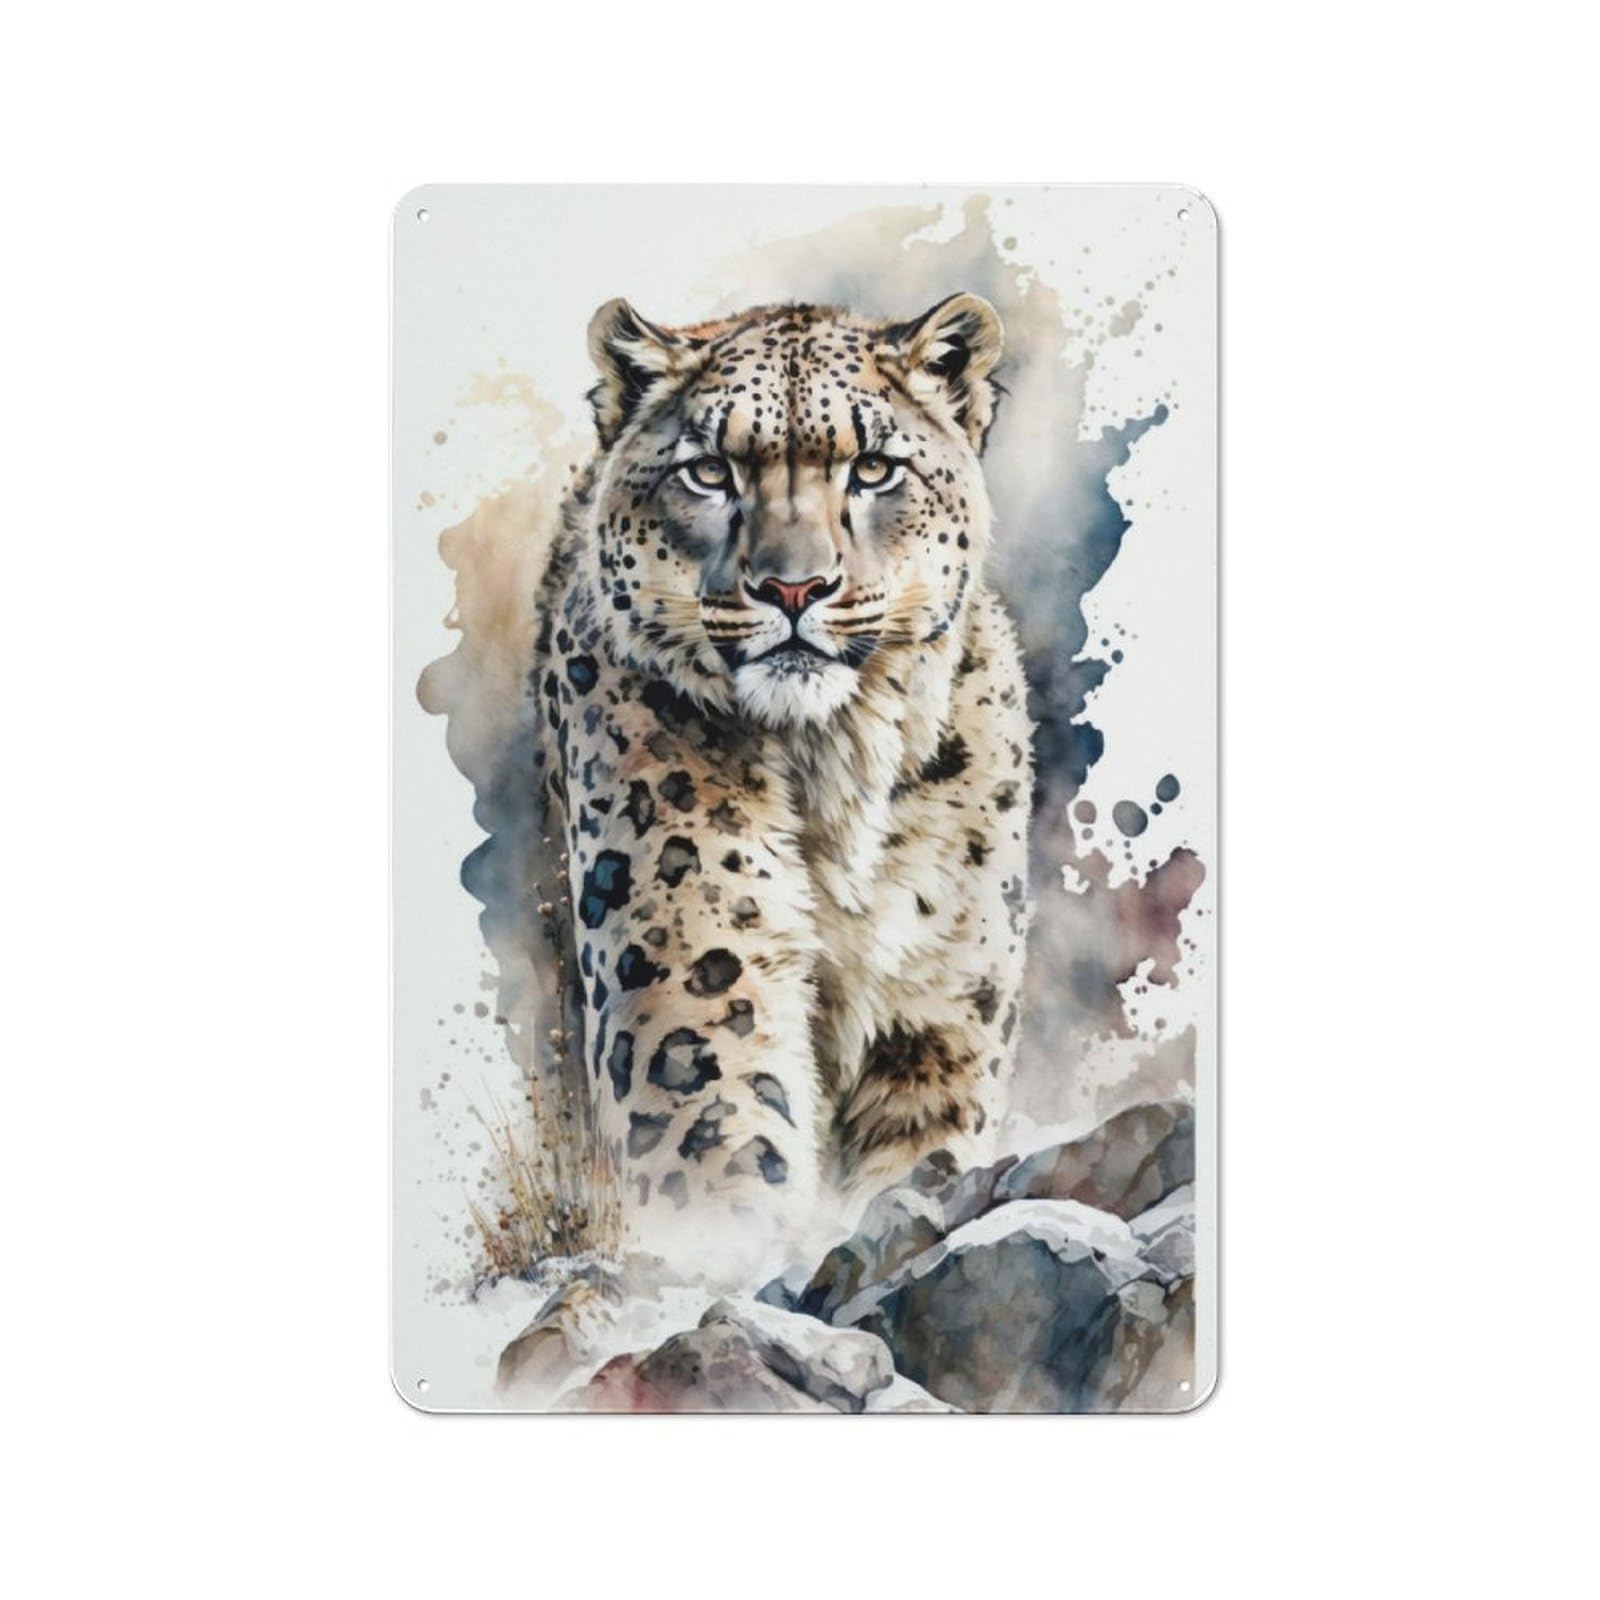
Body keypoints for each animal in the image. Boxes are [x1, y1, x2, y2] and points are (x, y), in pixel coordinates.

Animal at [527, 292, 1033, 1291]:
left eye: (873, 467)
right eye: (708, 469)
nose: (793, 587)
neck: (838, 768)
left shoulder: (939, 1012)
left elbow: (921, 1164)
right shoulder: (697, 974)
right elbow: (720, 1149)